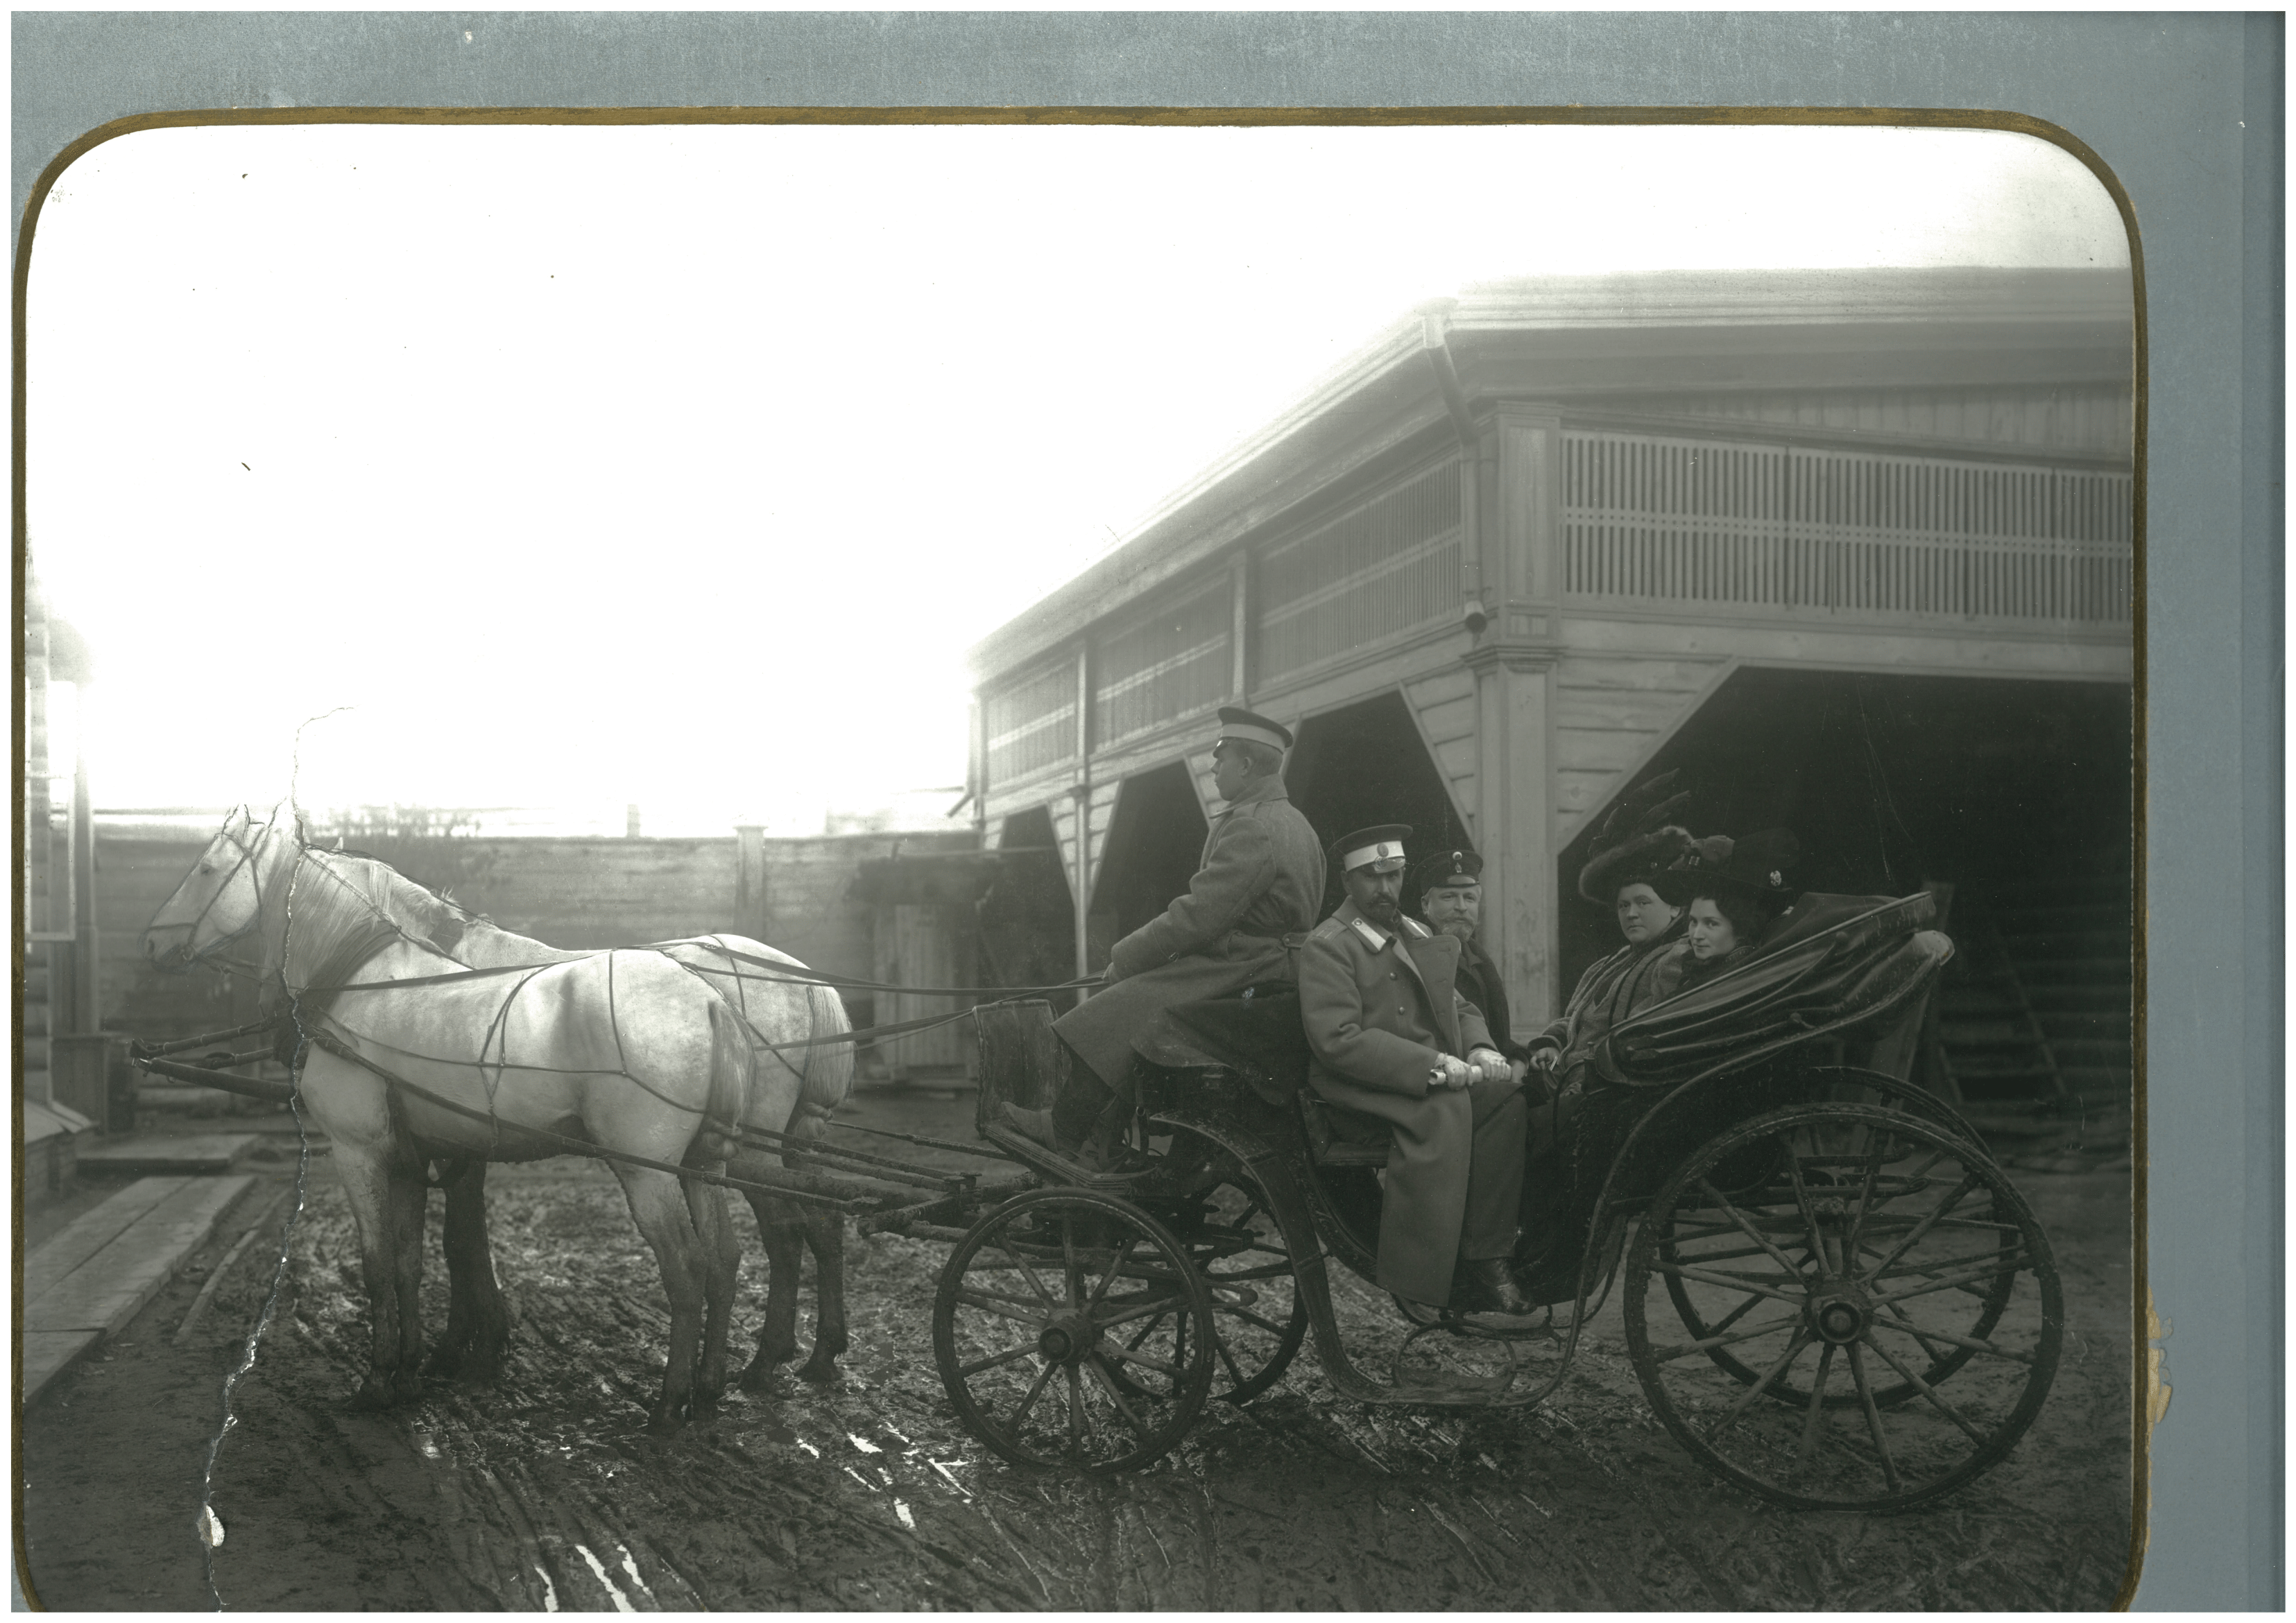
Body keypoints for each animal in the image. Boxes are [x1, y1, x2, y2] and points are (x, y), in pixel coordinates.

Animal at [141, 808, 817, 1432]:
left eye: (207, 870)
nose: (150, 944)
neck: (359, 983)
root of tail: (708, 999)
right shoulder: (413, 1157)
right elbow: (413, 1261)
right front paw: (412, 1369)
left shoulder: (359, 1151)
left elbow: (380, 1263)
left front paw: (380, 1378)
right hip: (705, 1164)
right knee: (726, 1256)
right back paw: (710, 1388)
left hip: (648, 1171)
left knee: (689, 1267)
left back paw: (673, 1401)